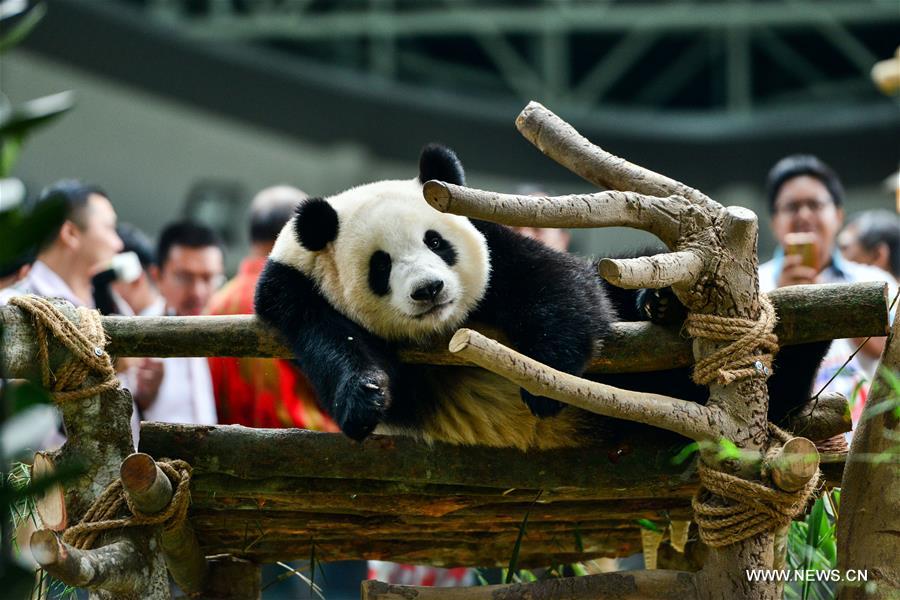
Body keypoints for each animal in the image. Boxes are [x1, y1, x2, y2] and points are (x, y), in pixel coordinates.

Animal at [255, 145, 828, 450]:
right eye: (381, 266)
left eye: (436, 242)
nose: (429, 290)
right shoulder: (292, 294)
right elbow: (335, 346)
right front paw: (364, 395)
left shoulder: (493, 237)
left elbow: (562, 287)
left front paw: (544, 381)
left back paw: (665, 305)